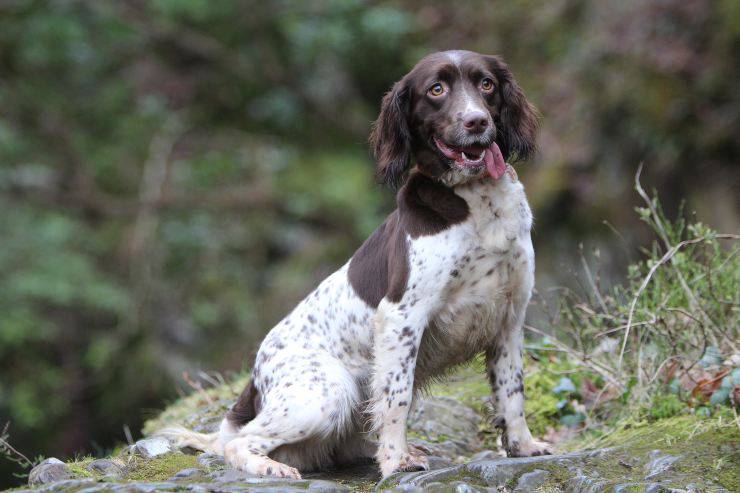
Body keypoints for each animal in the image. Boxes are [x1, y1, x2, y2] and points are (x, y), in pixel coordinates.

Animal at [163, 50, 556, 476]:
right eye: (436, 89)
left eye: (486, 84)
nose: (477, 121)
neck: (478, 202)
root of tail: (255, 379)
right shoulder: (402, 316)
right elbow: (397, 397)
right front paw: (396, 459)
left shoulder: (509, 317)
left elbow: (512, 392)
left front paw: (523, 447)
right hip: (327, 393)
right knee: (239, 443)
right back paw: (272, 467)